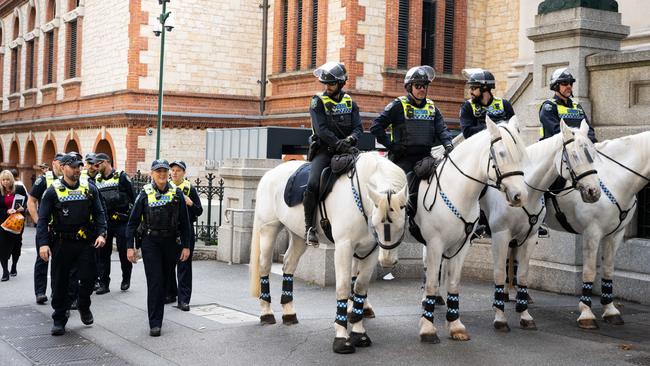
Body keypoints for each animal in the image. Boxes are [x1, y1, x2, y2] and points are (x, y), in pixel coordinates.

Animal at [248, 150, 404, 354]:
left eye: (402, 223)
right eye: (378, 222)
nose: (387, 261)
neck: (360, 199)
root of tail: (270, 173)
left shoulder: (370, 250)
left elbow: (360, 287)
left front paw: (359, 332)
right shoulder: (344, 247)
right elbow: (344, 286)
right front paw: (342, 337)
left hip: (298, 236)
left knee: (288, 264)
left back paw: (289, 312)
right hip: (269, 229)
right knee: (264, 266)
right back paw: (266, 312)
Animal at [416, 118, 528, 344]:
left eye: (522, 154)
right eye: (502, 153)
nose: (520, 196)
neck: (456, 189)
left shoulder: (461, 246)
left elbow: (453, 282)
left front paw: (455, 325)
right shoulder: (435, 244)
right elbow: (432, 282)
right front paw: (428, 329)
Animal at [478, 121, 600, 332]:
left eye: (592, 152)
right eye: (575, 155)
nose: (594, 191)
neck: (526, 189)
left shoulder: (530, 236)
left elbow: (523, 274)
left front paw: (524, 314)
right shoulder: (500, 235)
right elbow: (499, 273)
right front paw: (500, 317)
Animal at [544, 130, 648, 328]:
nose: (593, 193)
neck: (616, 178)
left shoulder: (615, 234)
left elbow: (607, 268)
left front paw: (610, 309)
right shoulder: (592, 233)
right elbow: (590, 270)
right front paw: (586, 313)